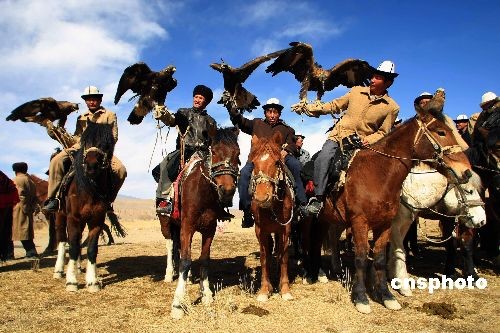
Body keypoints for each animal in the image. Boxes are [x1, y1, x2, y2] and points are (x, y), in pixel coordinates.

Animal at [53, 121, 115, 290]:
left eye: (107, 144)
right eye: (85, 141)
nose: (91, 166)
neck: (89, 189)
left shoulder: (97, 220)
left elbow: (92, 249)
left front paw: (92, 281)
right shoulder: (73, 218)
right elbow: (73, 247)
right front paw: (72, 281)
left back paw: (79, 267)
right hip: (61, 216)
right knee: (62, 240)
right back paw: (59, 270)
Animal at [161, 126, 239, 318]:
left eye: (238, 153)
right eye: (215, 152)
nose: (227, 190)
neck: (203, 193)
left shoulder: (209, 230)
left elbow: (203, 260)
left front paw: (207, 295)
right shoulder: (187, 227)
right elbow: (185, 261)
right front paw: (177, 304)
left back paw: (187, 278)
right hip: (166, 224)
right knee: (170, 245)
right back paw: (169, 275)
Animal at [248, 132, 294, 300]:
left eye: (276, 162)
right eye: (253, 163)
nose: (262, 197)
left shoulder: (285, 230)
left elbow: (284, 257)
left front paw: (285, 289)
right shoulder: (260, 231)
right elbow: (264, 257)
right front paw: (264, 289)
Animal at [304, 102, 472, 312]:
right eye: (441, 132)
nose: (466, 172)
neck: (378, 174)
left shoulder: (384, 225)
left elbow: (380, 259)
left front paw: (386, 295)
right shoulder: (360, 222)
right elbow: (361, 257)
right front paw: (361, 297)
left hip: (333, 219)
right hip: (317, 218)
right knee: (315, 241)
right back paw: (317, 273)